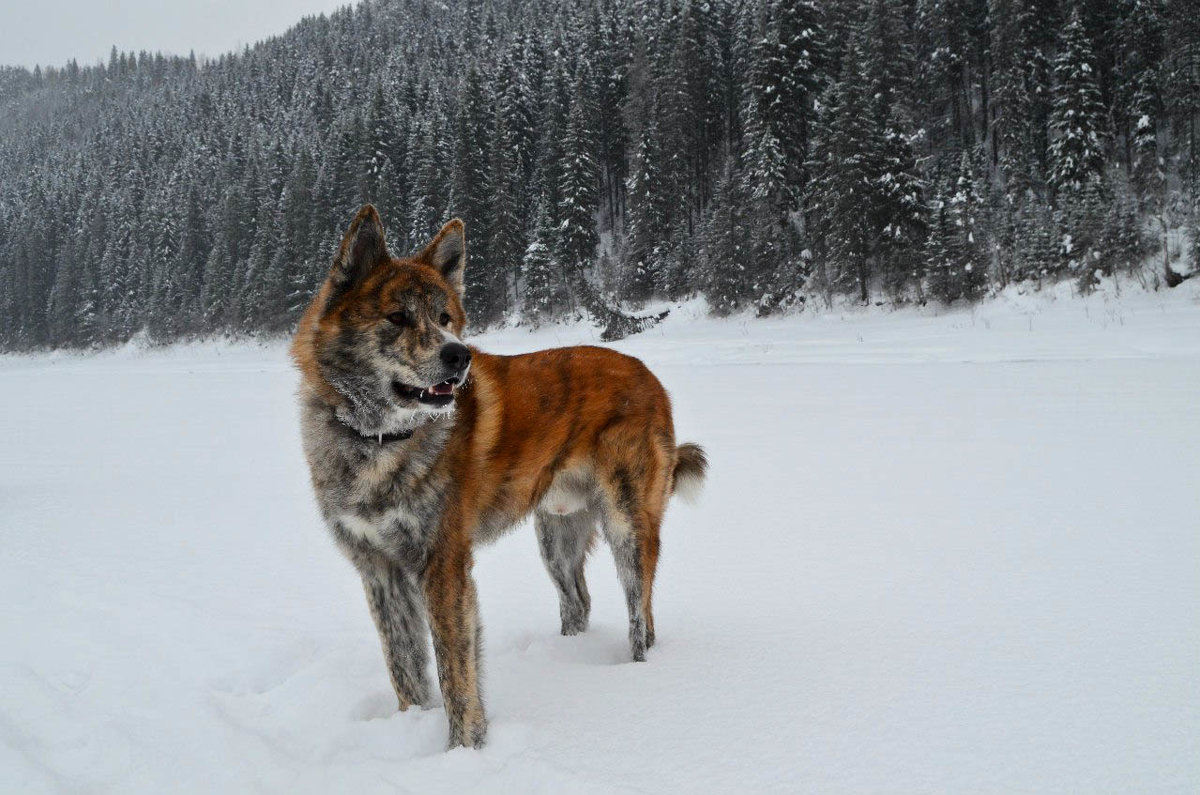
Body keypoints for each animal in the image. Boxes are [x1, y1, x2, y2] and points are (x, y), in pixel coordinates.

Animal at [290, 206, 700, 754]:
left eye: (445, 318)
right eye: (397, 318)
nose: (458, 355)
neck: (381, 438)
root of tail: (649, 375)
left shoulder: (443, 566)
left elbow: (455, 674)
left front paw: (464, 752)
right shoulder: (379, 571)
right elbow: (405, 669)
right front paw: (412, 728)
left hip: (627, 525)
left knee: (642, 615)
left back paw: (638, 676)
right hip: (556, 535)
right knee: (579, 601)